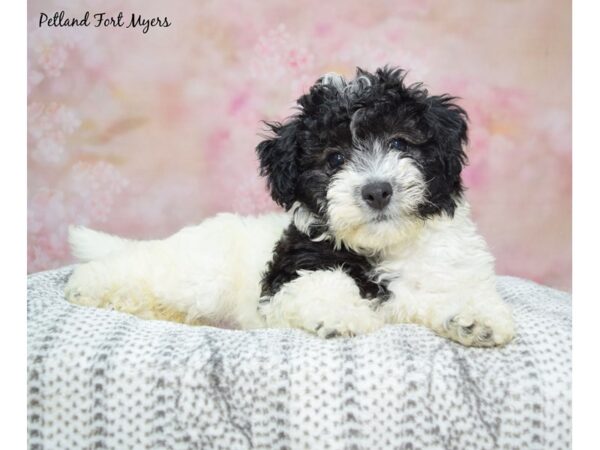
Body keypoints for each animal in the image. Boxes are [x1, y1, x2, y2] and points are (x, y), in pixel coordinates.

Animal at [65, 67, 516, 346]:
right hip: (197, 273)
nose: (377, 191)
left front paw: (476, 319)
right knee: (135, 270)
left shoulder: (448, 270)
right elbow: (323, 283)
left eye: (399, 142)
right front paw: (341, 315)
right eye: (334, 159)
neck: (385, 246)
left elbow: (455, 292)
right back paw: (88, 286)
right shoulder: (291, 271)